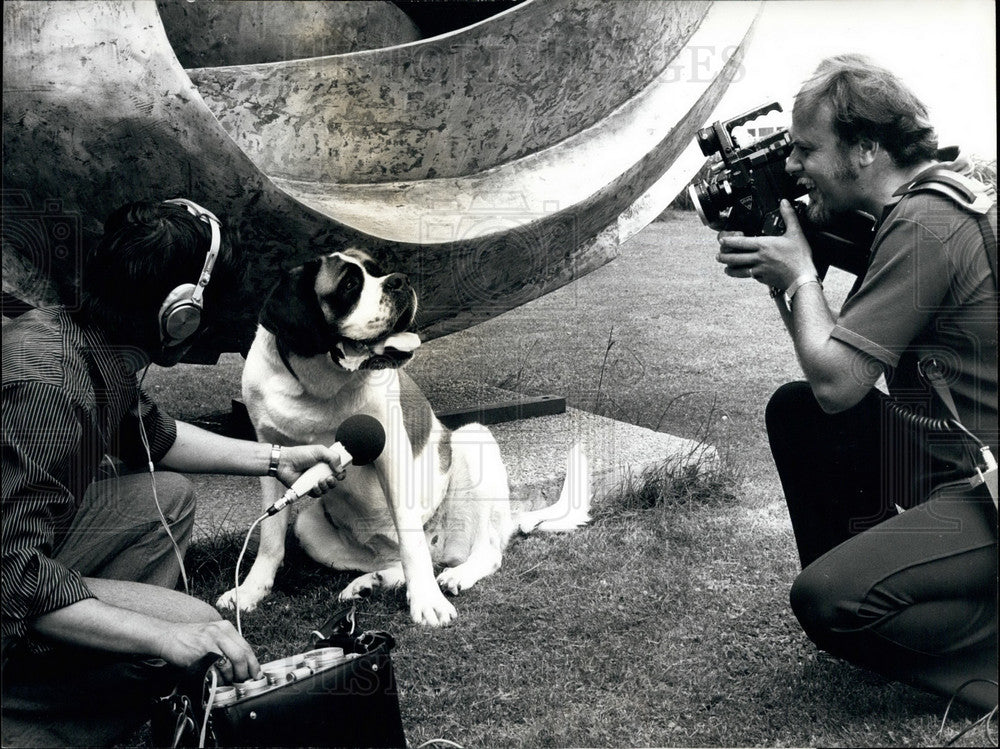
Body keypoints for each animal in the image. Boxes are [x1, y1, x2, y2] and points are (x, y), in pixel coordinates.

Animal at [216, 248, 588, 624]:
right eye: (349, 285)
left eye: (378, 271)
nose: (399, 281)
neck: (318, 385)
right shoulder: (271, 452)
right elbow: (270, 537)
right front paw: (251, 590)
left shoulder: (390, 453)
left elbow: (413, 545)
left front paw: (427, 601)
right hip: (308, 526)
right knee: (395, 560)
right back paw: (372, 581)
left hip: (475, 442)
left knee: (481, 551)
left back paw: (457, 573)